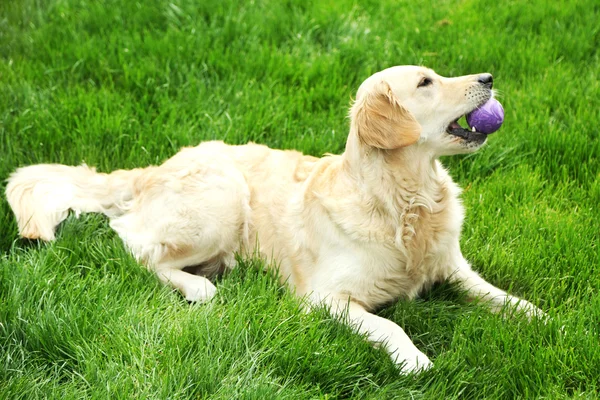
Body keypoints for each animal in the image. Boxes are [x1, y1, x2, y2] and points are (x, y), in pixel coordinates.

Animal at [4, 66, 544, 376]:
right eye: (426, 83)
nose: (489, 78)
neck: (402, 200)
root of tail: (154, 168)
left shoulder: (450, 265)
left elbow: (494, 293)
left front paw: (537, 316)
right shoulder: (325, 299)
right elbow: (388, 325)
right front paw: (413, 359)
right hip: (221, 200)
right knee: (134, 245)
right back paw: (199, 286)